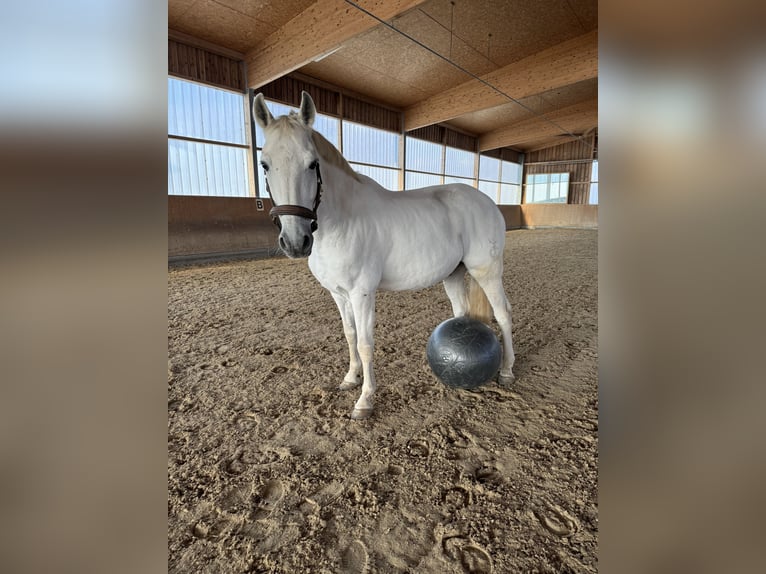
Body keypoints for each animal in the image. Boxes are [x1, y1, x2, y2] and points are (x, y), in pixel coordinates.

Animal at [253, 91, 515, 419]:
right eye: (264, 164)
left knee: (503, 314)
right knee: (462, 313)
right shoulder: (338, 294)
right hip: (453, 274)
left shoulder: (362, 293)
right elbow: (350, 335)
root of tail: (487, 202)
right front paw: (350, 379)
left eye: (312, 164)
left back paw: (507, 372)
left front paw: (365, 400)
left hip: (487, 271)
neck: (341, 220)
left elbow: (366, 343)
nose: (295, 242)